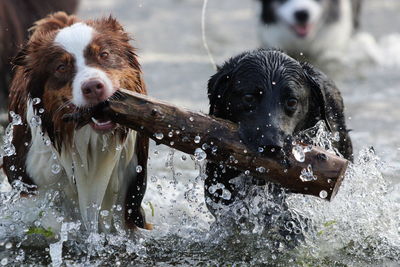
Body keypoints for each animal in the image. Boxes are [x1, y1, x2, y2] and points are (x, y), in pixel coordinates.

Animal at [2, 12, 150, 233]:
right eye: (61, 67)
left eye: (104, 54)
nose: (93, 87)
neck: (88, 140)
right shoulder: (28, 185)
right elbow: (50, 222)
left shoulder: (129, 193)